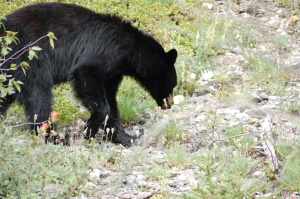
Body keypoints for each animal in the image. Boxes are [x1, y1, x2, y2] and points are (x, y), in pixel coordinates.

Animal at [0, 2, 177, 146]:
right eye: (173, 84)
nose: (170, 104)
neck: (131, 51)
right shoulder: (108, 51)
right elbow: (86, 74)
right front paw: (89, 129)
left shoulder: (113, 73)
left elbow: (111, 101)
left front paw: (125, 137)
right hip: (28, 59)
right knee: (39, 96)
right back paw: (55, 136)